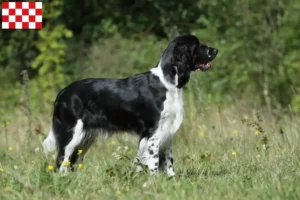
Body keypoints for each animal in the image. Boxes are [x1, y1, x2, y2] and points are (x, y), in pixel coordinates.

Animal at [42, 35, 218, 176]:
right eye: (197, 45)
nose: (216, 50)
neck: (167, 83)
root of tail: (63, 91)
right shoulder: (153, 131)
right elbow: (153, 159)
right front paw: (154, 180)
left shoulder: (167, 130)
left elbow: (168, 160)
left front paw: (171, 178)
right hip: (72, 133)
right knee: (61, 160)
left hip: (85, 137)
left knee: (71, 161)